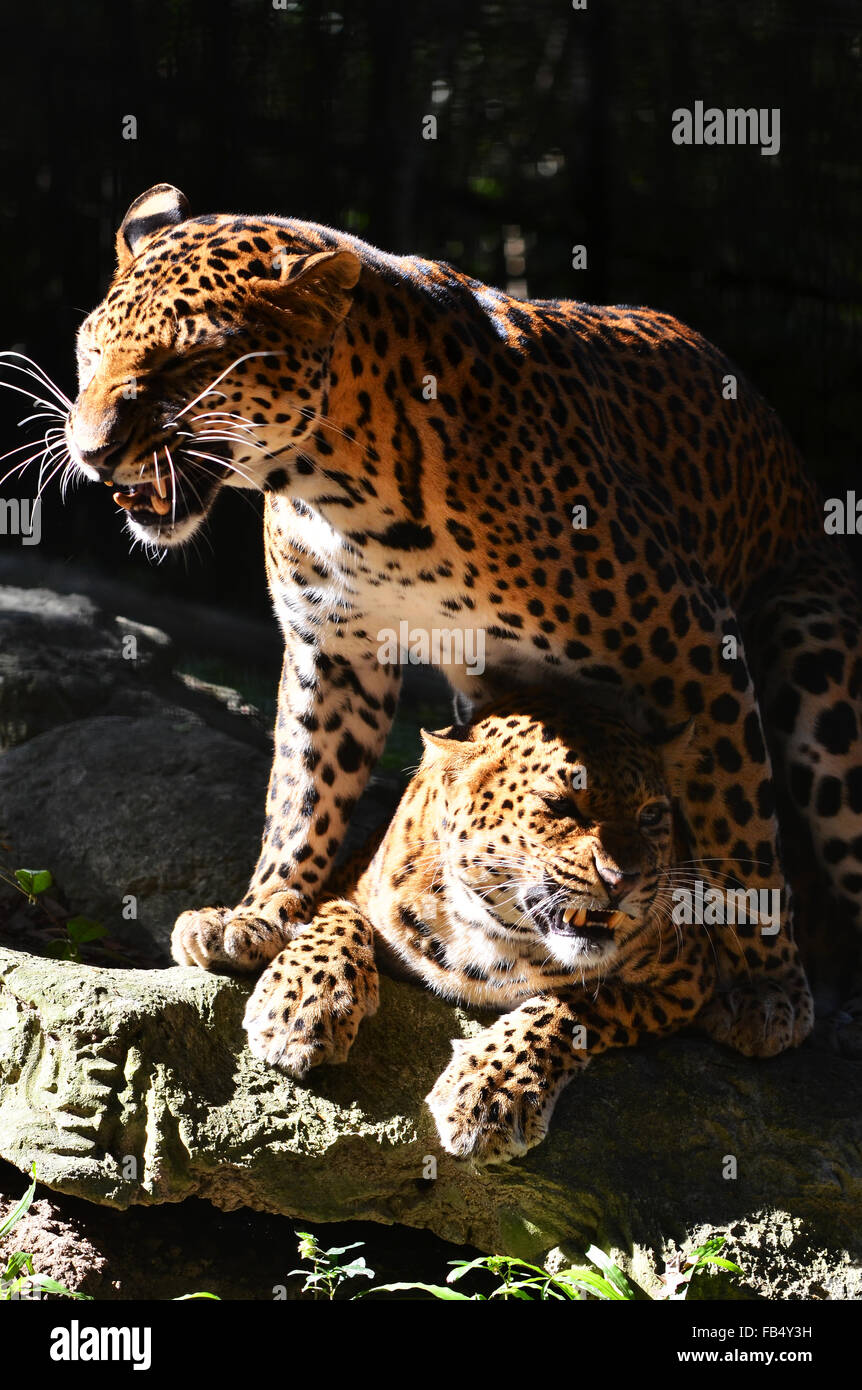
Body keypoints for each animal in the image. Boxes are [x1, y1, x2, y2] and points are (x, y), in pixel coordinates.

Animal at [54, 183, 862, 1062]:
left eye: (185, 365)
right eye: (89, 353)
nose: (91, 453)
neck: (341, 490)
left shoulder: (694, 647)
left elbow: (739, 817)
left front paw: (765, 986)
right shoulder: (333, 647)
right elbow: (303, 787)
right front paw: (262, 913)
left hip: (812, 641)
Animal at [242, 689, 716, 1161]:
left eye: (651, 816)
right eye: (559, 804)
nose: (624, 879)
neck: (495, 938)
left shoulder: (688, 980)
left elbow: (575, 1002)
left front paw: (492, 1089)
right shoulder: (346, 882)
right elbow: (336, 914)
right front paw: (299, 1008)